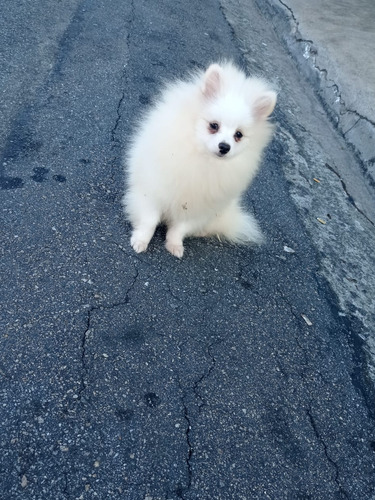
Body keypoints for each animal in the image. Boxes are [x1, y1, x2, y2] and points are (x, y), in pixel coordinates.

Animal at [122, 61, 276, 258]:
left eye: (238, 135)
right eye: (214, 126)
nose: (224, 147)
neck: (202, 160)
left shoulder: (197, 209)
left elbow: (180, 229)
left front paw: (175, 245)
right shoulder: (153, 191)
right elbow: (150, 220)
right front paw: (141, 240)